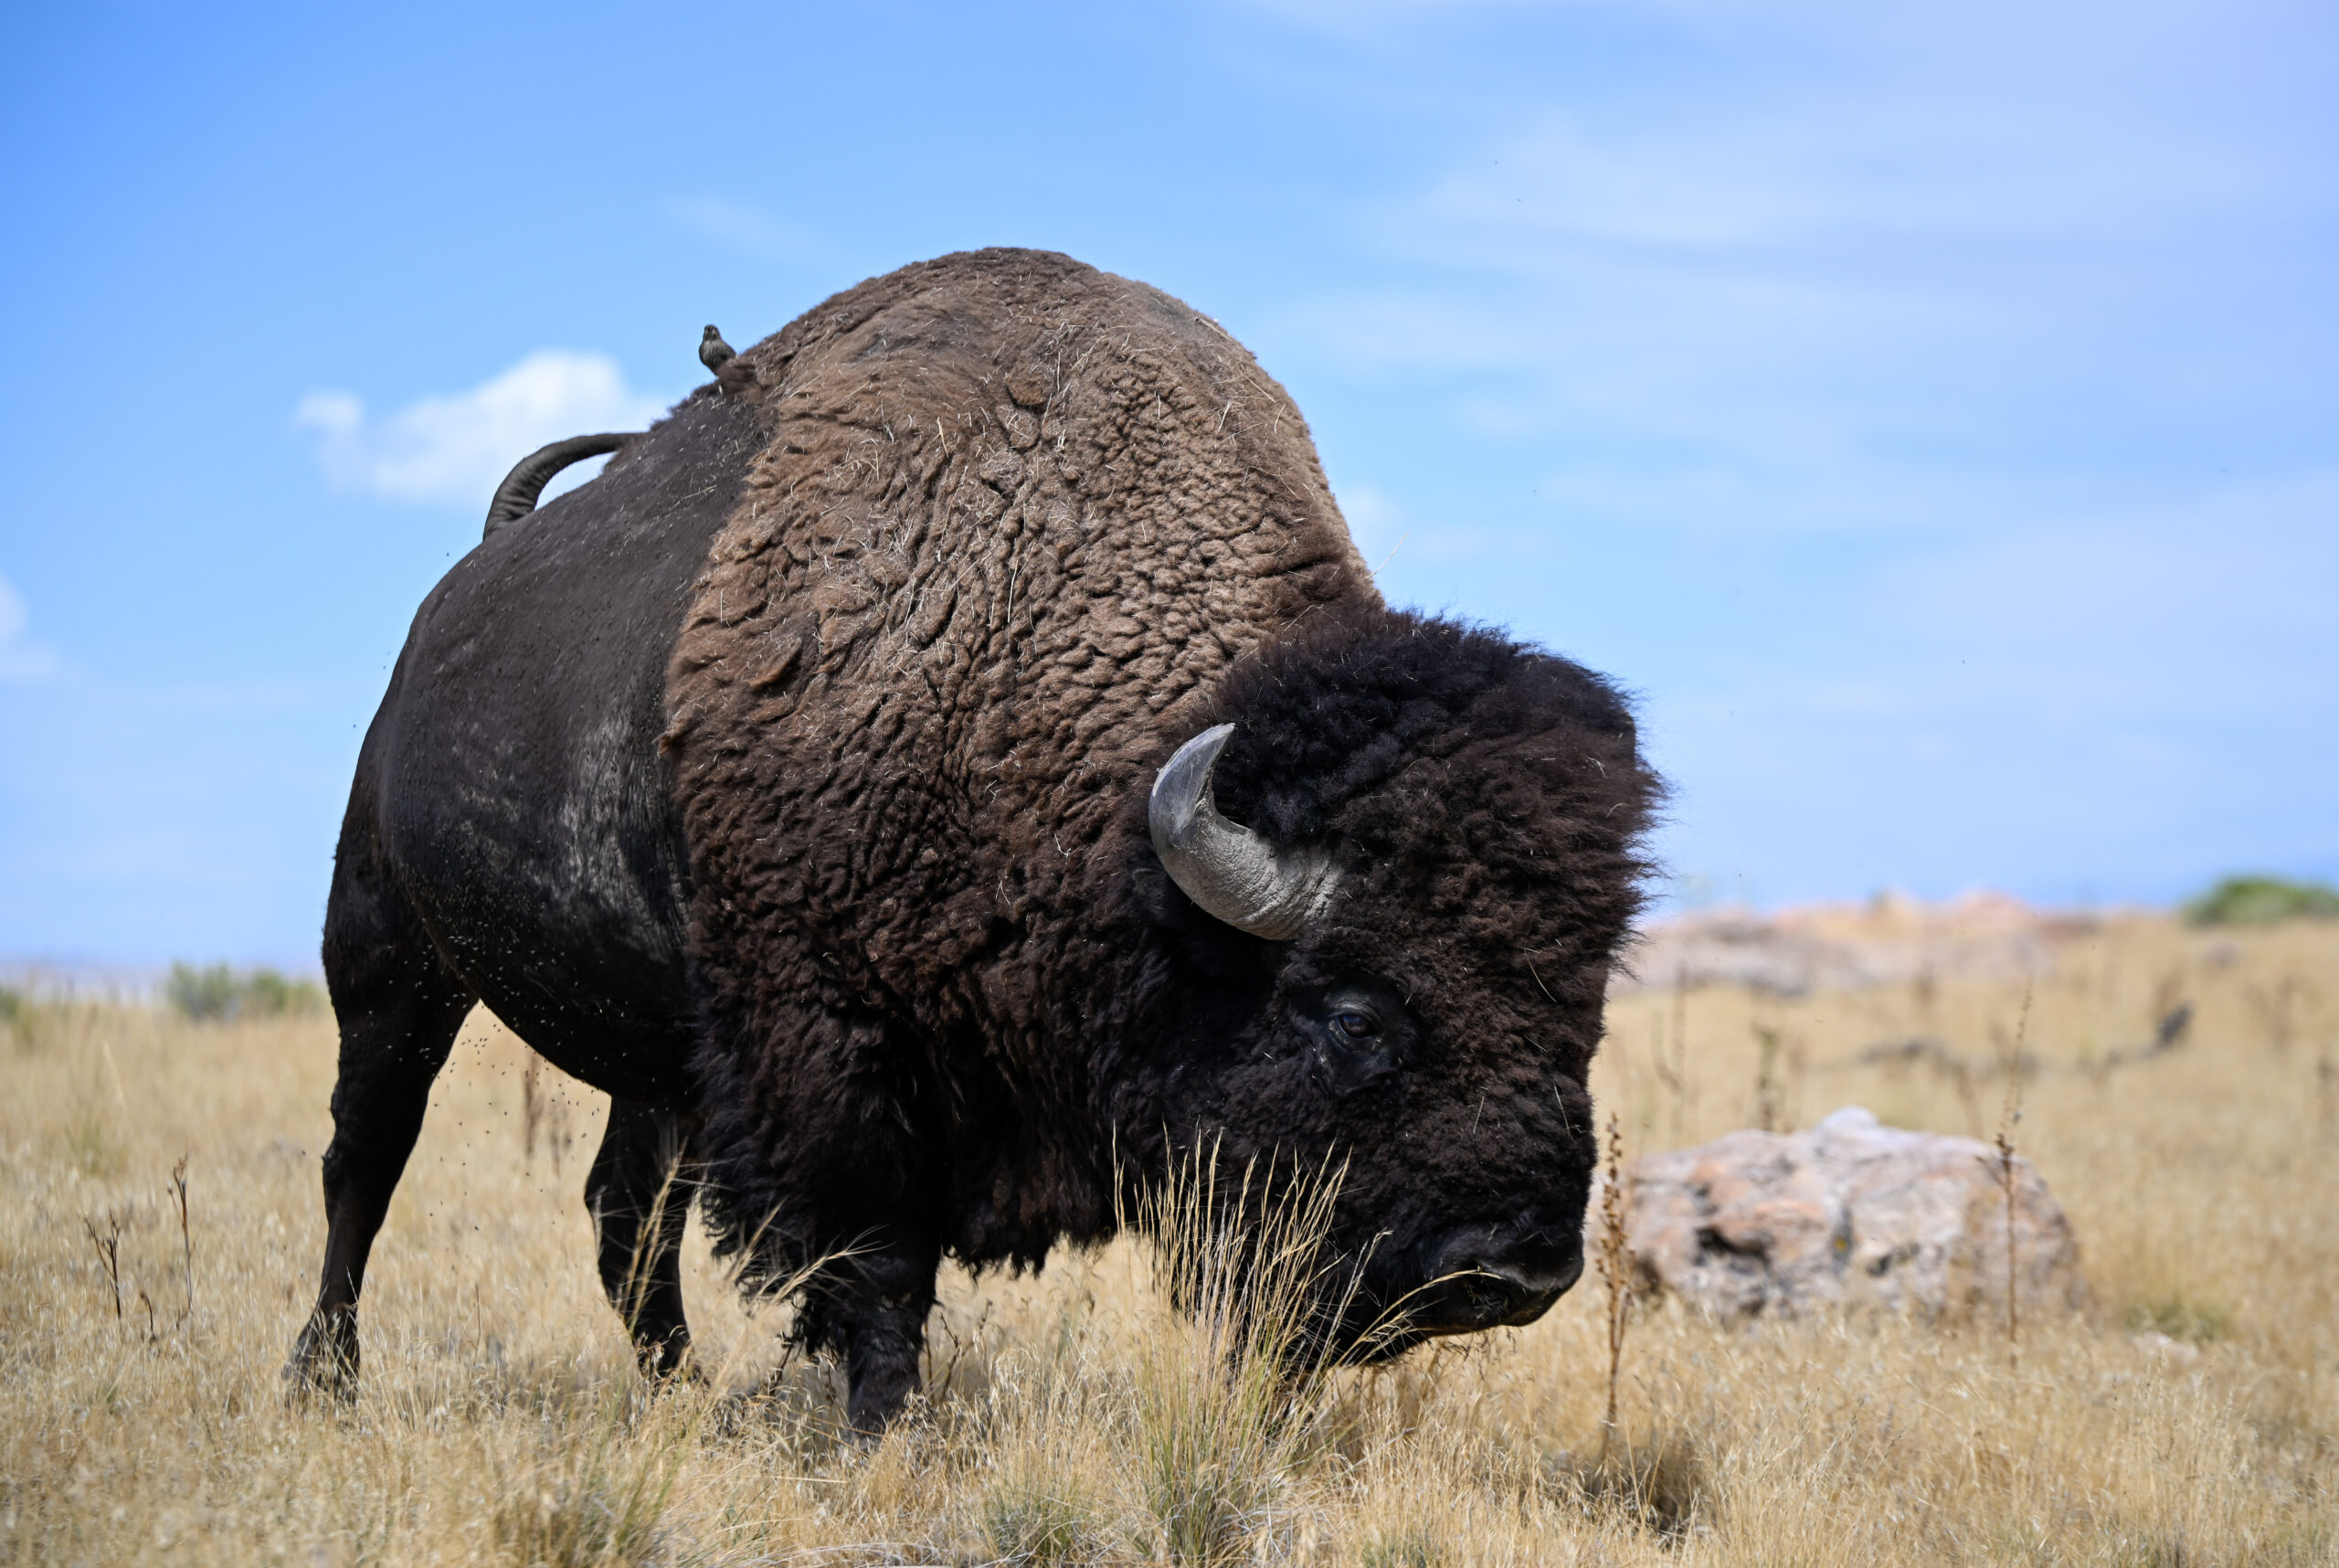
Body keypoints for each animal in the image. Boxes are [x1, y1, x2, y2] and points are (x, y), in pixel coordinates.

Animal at [287, 248, 1658, 1430]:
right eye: (1359, 1019)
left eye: (1584, 1010)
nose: (1514, 1273)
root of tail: (455, 596)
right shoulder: (832, 1053)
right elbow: (879, 1270)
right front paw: (878, 1431)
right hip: (391, 954)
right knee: (367, 1153)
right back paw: (324, 1379)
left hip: (657, 1055)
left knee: (625, 1210)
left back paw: (679, 1396)